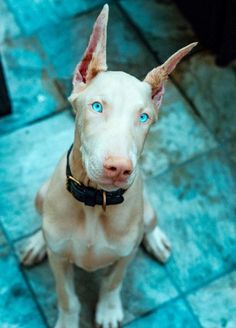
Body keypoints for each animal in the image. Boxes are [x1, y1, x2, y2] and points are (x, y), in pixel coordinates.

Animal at [18, 5, 195, 328]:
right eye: (97, 106)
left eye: (144, 117)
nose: (119, 168)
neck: (93, 202)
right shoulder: (59, 260)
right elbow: (67, 297)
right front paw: (67, 321)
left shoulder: (125, 255)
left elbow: (113, 282)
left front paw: (109, 311)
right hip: (40, 195)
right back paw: (37, 243)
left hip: (148, 212)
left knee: (149, 225)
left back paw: (156, 241)